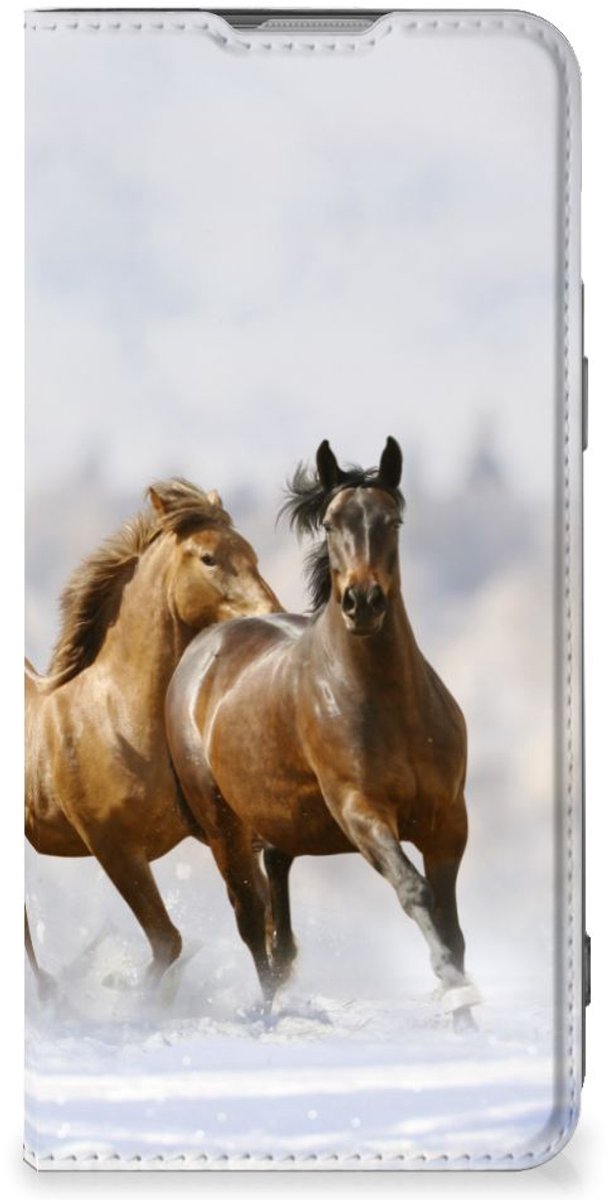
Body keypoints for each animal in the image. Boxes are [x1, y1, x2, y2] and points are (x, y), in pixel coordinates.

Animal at [25, 479, 281, 992]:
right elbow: (168, 941)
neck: (117, 719)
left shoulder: (222, 832)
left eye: (252, 553)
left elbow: (257, 921)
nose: (272, 614)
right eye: (208, 558)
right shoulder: (114, 848)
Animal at [166, 439, 479, 1028]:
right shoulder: (361, 812)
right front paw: (455, 992)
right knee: (251, 919)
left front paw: (466, 1016)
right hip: (223, 828)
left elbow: (451, 923)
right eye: (332, 524)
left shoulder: (448, 820)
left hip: (280, 822)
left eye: (392, 520)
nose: (363, 602)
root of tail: (203, 648)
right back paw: (268, 1014)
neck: (389, 705)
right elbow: (416, 892)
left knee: (277, 912)